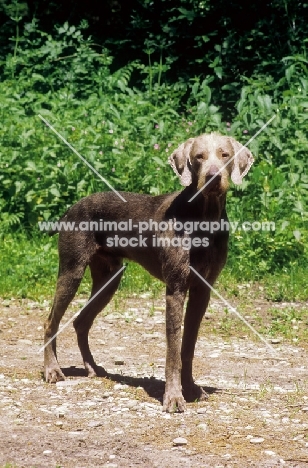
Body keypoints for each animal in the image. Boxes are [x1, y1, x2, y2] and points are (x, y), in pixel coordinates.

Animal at [44, 133, 254, 412]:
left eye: (225, 155)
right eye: (198, 156)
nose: (212, 177)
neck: (204, 218)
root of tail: (70, 208)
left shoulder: (202, 290)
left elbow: (188, 346)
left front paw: (190, 389)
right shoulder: (175, 289)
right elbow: (173, 349)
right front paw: (173, 397)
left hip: (109, 278)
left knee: (81, 321)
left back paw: (93, 368)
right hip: (72, 270)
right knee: (51, 321)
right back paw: (52, 370)